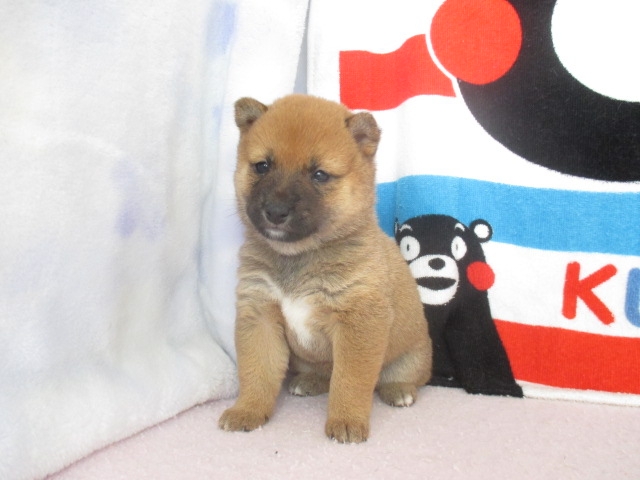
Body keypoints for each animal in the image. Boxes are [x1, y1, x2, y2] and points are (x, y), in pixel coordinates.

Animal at [218, 94, 432, 443]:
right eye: (262, 166)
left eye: (319, 175)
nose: (275, 211)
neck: (299, 257)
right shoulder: (260, 314)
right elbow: (256, 372)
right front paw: (247, 411)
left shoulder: (359, 322)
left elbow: (350, 382)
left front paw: (346, 421)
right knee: (322, 372)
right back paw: (310, 382)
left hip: (411, 356)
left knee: (399, 377)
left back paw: (399, 391)